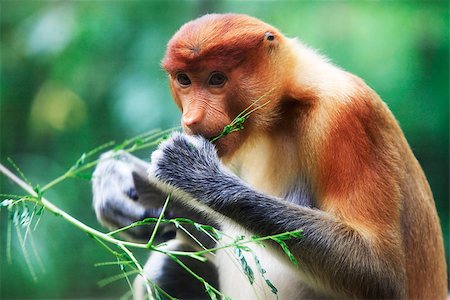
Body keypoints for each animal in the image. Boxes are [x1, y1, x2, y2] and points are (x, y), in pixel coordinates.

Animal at [93, 12, 448, 298]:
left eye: (217, 79)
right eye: (184, 80)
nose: (192, 120)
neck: (288, 103)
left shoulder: (347, 115)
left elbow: (379, 272)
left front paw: (193, 171)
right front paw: (118, 181)